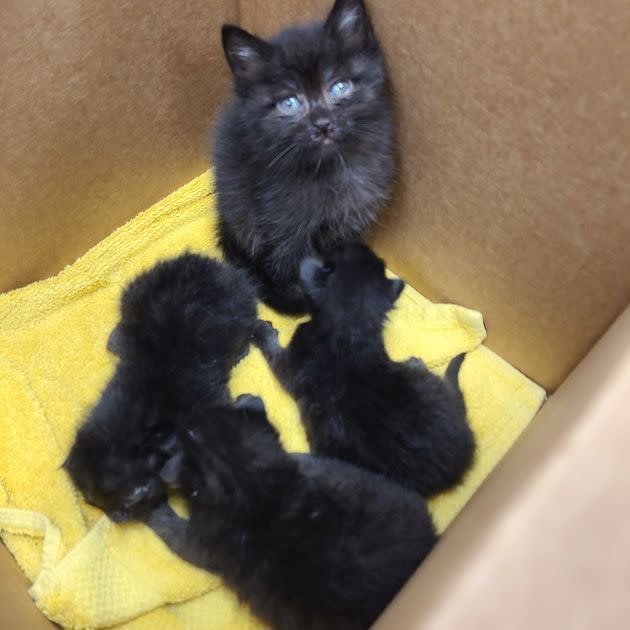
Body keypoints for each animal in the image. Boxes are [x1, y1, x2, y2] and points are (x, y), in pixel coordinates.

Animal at [65, 252, 258, 524]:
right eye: (95, 503)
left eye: (136, 496)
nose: (118, 517)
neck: (143, 410)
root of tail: (208, 263)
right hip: (134, 294)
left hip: (241, 309)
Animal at [216, 0, 396, 314]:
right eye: (290, 103)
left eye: (339, 86)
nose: (322, 124)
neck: (331, 167)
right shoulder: (283, 226)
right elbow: (288, 264)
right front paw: (305, 301)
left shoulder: (356, 214)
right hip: (240, 210)